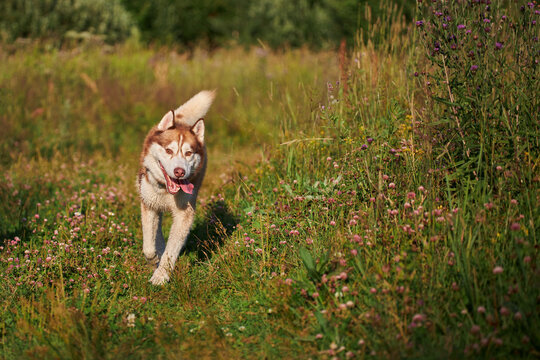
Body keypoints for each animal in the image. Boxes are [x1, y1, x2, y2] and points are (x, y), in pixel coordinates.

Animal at [137, 89, 215, 284]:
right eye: (169, 150)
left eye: (188, 153)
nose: (179, 171)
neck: (166, 191)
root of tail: (181, 120)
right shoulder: (148, 205)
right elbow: (148, 247)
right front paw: (154, 259)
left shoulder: (184, 213)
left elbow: (172, 250)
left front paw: (161, 275)